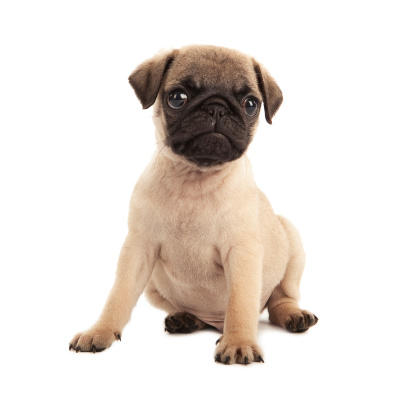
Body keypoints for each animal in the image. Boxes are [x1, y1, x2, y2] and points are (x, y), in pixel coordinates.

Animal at [69, 43, 318, 364]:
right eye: (178, 98)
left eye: (251, 104)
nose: (216, 108)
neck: (194, 180)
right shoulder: (138, 248)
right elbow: (119, 294)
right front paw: (100, 330)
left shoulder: (242, 253)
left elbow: (240, 303)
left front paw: (239, 341)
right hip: (153, 285)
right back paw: (185, 318)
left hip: (291, 240)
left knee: (279, 300)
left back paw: (293, 315)